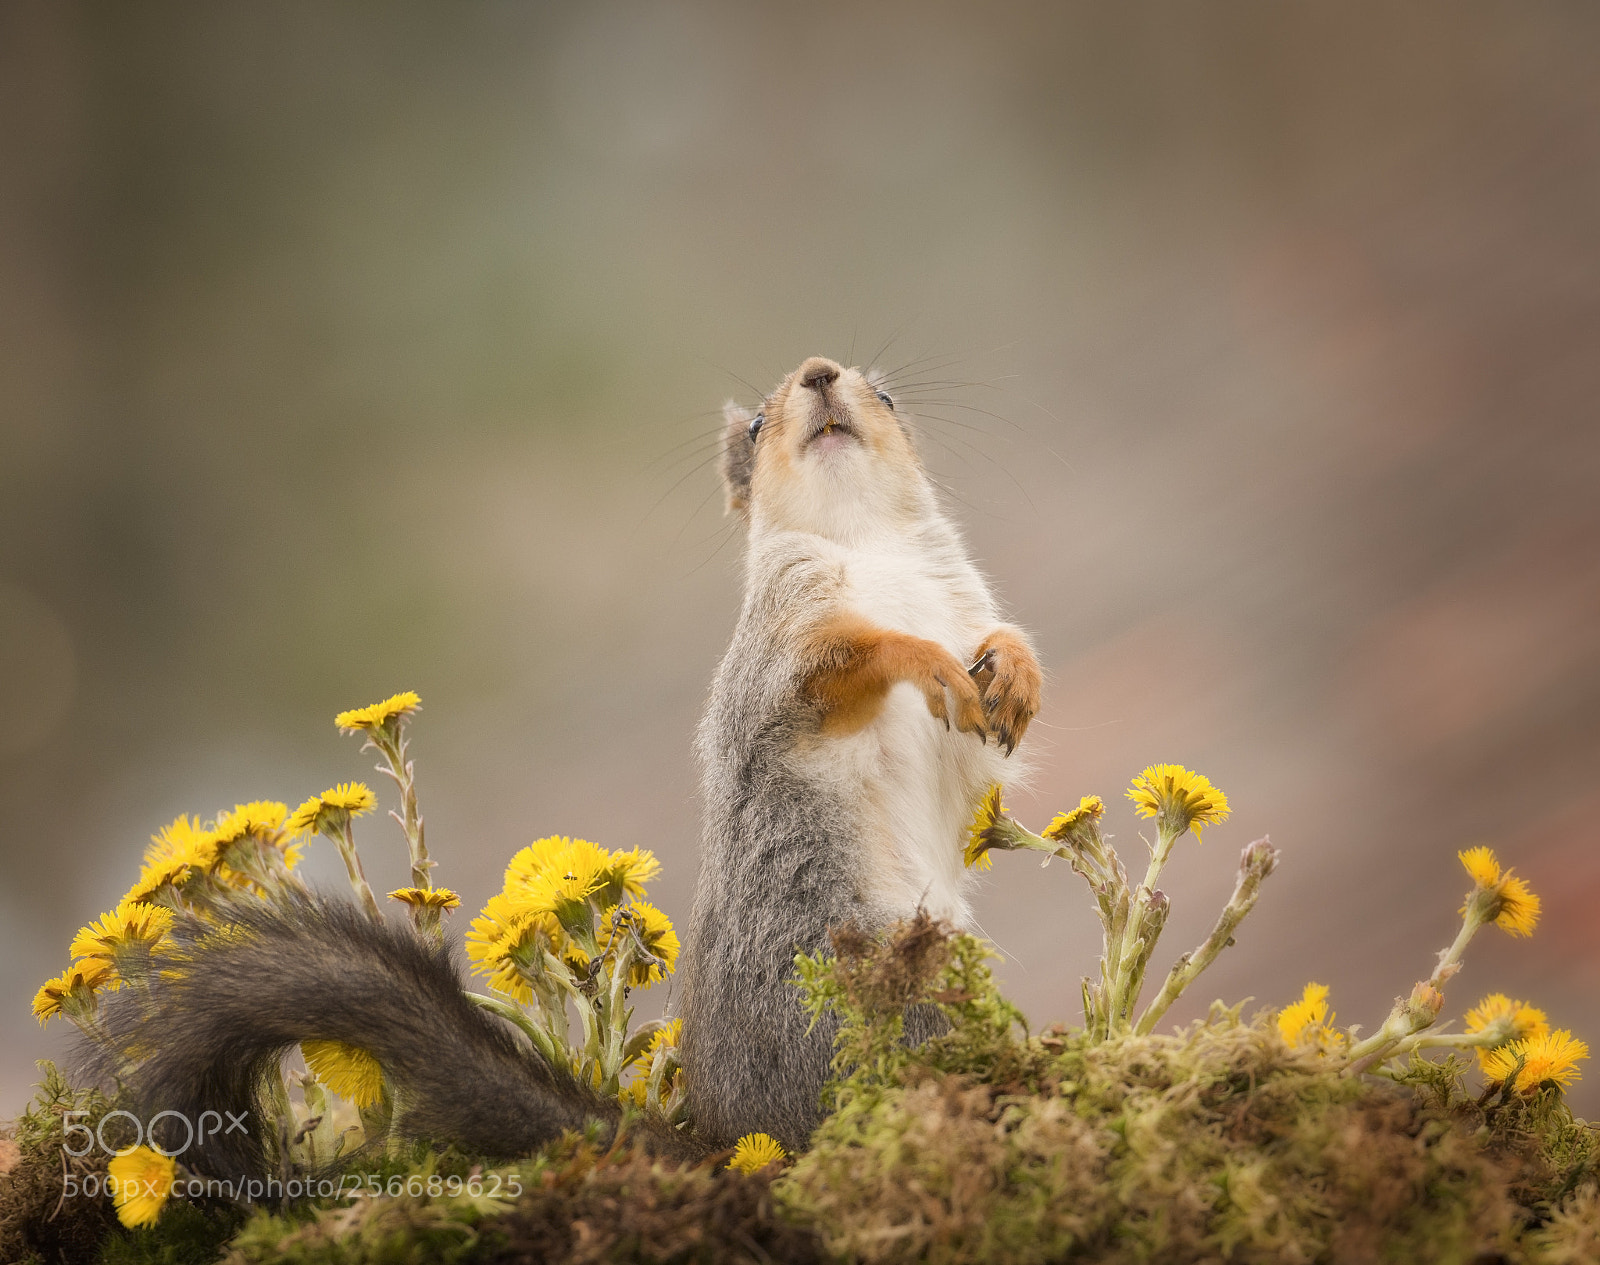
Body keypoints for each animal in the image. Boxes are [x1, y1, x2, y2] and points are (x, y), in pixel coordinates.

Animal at [91, 355, 1040, 1177]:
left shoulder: (958, 608)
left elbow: (987, 688)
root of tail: (738, 1132)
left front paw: (1016, 673)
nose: (817, 371)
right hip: (878, 990)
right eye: (758, 423)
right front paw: (925, 660)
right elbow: (844, 665)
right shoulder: (780, 654)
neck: (866, 541)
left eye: (884, 392)